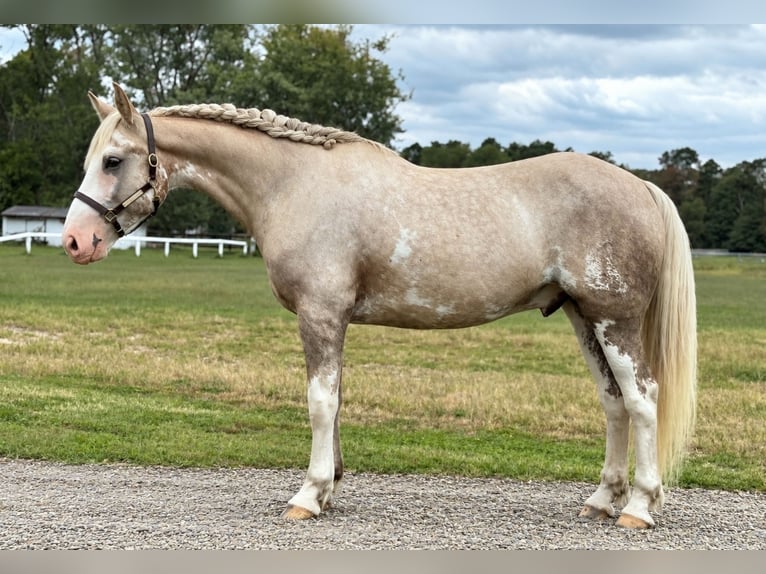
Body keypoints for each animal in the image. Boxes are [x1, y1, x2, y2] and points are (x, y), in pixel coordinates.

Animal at [62, 83, 697, 529]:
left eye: (113, 160)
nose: (75, 241)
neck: (294, 184)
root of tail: (640, 185)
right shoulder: (333, 320)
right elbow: (336, 401)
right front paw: (331, 488)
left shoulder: (320, 316)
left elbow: (320, 402)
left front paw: (308, 495)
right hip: (582, 318)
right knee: (613, 404)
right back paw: (601, 500)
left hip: (614, 321)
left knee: (643, 400)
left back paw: (638, 508)